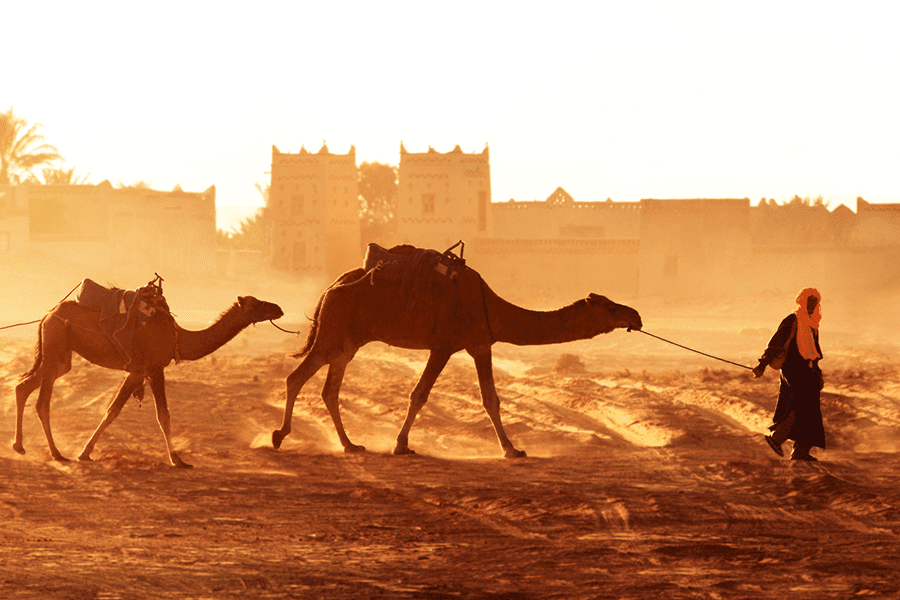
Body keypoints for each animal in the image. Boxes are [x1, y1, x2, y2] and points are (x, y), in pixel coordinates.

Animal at [14, 289, 284, 468]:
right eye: (255, 304)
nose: (278, 309)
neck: (178, 338)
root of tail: (47, 315)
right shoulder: (151, 369)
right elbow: (159, 414)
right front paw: (177, 459)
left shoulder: (141, 371)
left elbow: (117, 411)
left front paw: (86, 452)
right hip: (56, 346)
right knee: (41, 402)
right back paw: (56, 453)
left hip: (60, 357)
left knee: (23, 386)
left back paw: (20, 446)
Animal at [272, 246, 642, 458]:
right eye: (610, 307)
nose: (636, 316)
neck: (490, 306)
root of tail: (330, 288)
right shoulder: (445, 345)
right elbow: (419, 395)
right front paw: (401, 445)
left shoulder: (479, 343)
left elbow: (491, 398)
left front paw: (512, 449)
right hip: (334, 331)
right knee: (297, 378)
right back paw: (279, 436)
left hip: (346, 341)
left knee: (328, 388)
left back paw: (349, 445)